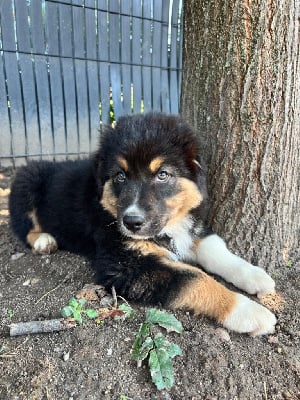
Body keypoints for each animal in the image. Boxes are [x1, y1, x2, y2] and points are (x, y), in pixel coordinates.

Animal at [8, 111, 276, 334]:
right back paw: (44, 241)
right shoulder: (125, 264)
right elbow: (193, 277)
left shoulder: (190, 231)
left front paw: (255, 276)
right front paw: (248, 311)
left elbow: (216, 250)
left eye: (163, 175)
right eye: (120, 176)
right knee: (24, 226)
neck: (169, 228)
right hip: (27, 182)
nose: (131, 222)